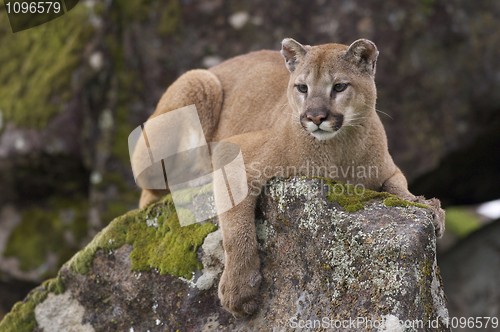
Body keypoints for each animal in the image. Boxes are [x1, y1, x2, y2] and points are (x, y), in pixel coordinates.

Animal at [134, 37, 446, 318]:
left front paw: (428, 206)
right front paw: (239, 290)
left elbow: (399, 188)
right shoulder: (234, 153)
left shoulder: (389, 169)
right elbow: (237, 229)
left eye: (339, 86)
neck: (338, 150)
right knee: (149, 192)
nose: (315, 117)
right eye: (302, 87)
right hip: (197, 82)